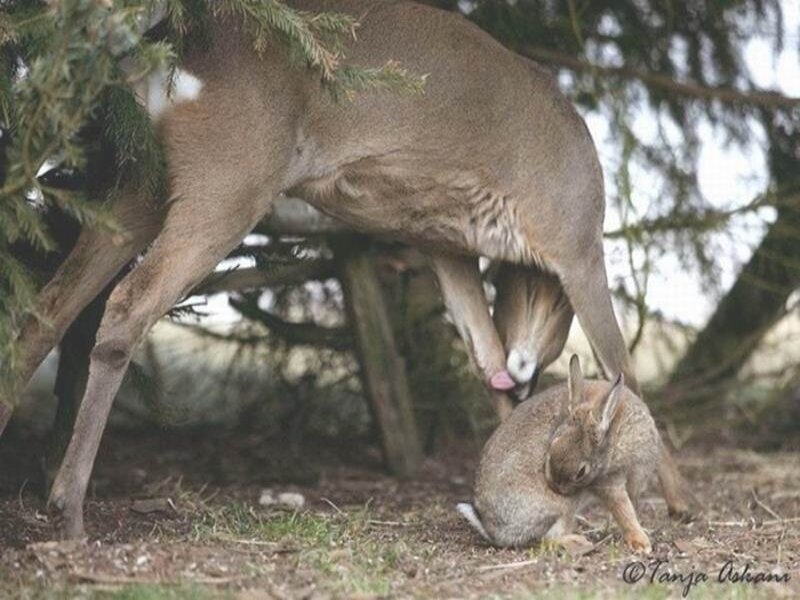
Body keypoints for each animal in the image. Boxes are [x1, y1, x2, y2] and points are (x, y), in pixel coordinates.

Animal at [458, 354, 690, 552]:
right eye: (550, 448)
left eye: (580, 472)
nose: (554, 486)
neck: (614, 433)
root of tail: (491, 528)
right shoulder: (608, 483)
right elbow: (624, 511)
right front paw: (641, 542)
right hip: (562, 506)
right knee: (544, 538)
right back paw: (577, 540)